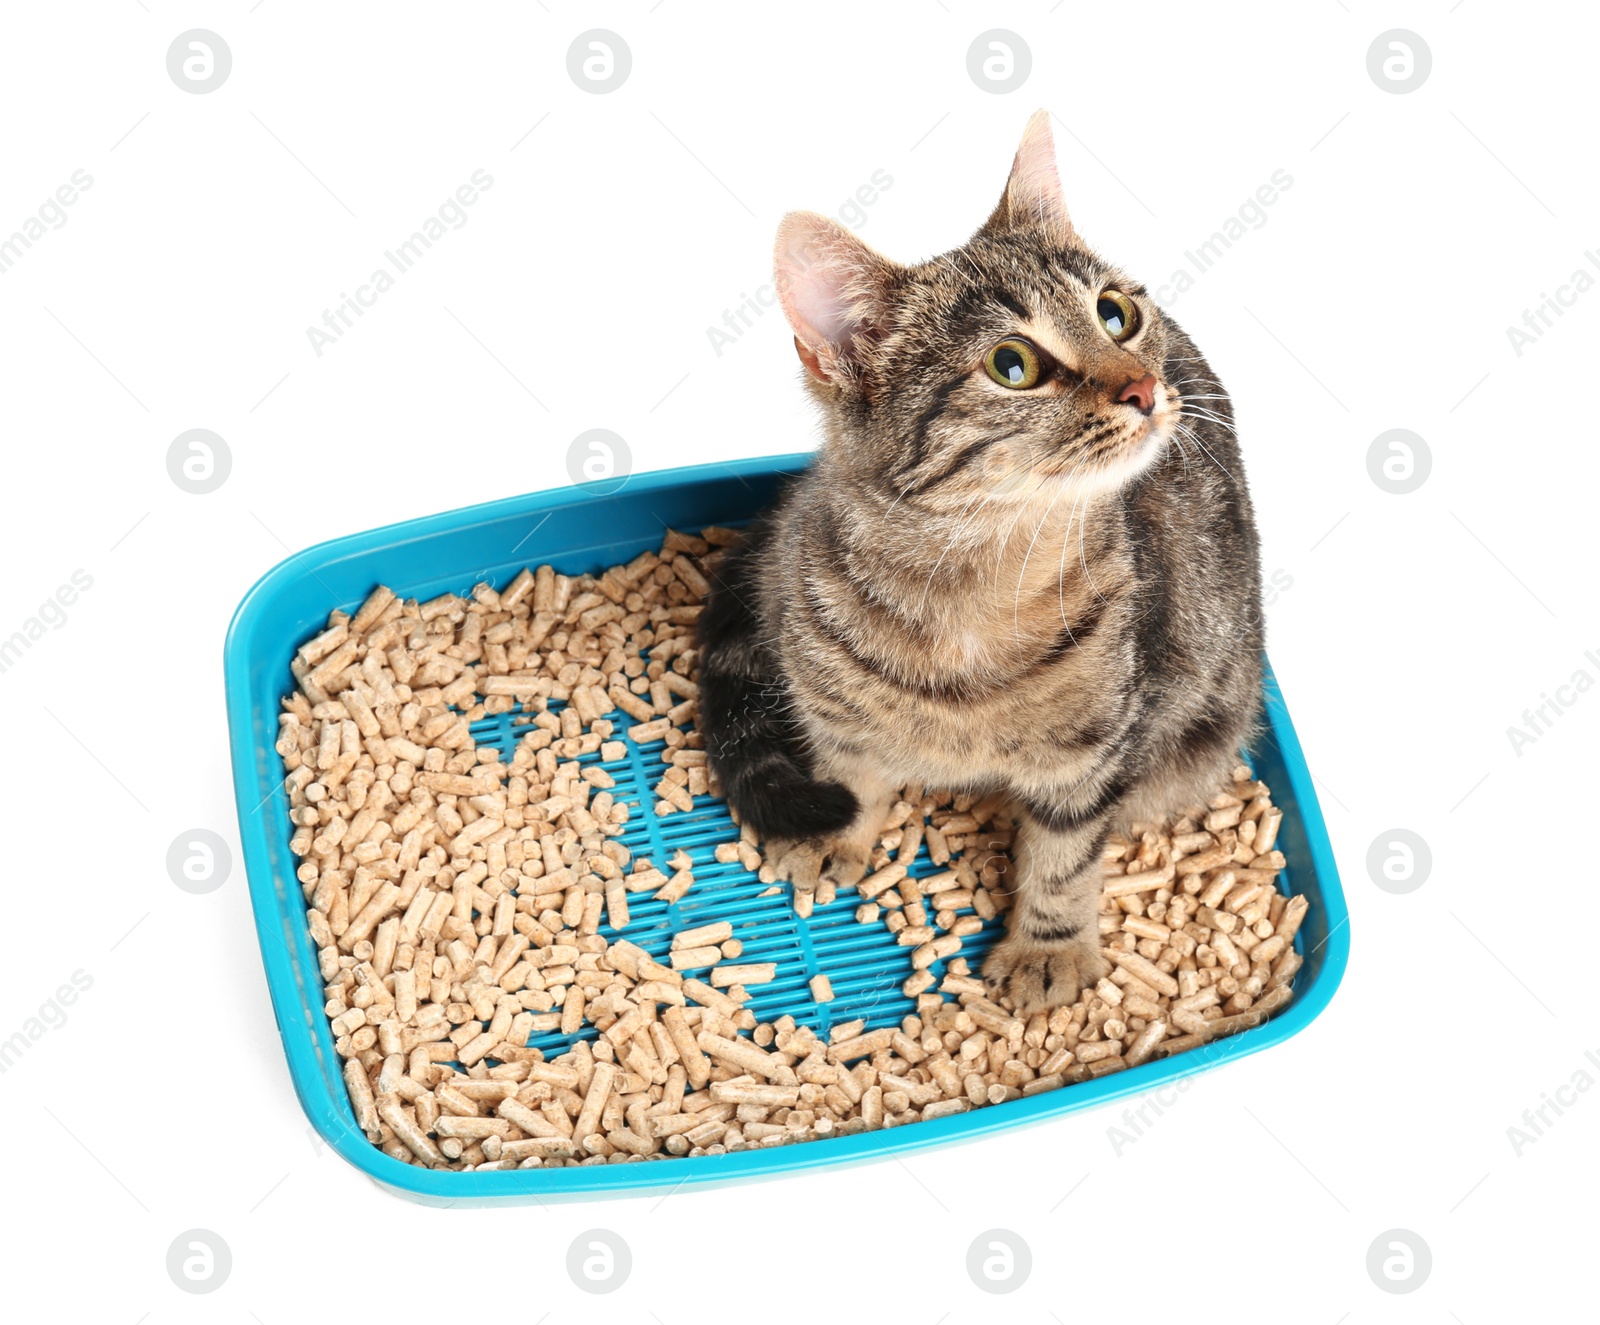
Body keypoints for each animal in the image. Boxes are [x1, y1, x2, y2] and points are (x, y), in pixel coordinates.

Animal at [697, 116, 1260, 1011]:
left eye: (1114, 313)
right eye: (1012, 364)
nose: (1143, 385)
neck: (970, 581)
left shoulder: (1094, 752)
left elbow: (1065, 856)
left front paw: (1048, 948)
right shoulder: (830, 706)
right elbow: (850, 772)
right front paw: (836, 834)